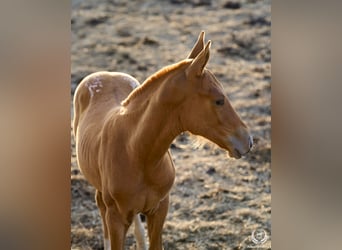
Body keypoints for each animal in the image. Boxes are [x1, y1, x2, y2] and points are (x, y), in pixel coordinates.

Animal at [73, 31, 252, 250]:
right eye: (219, 100)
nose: (248, 140)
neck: (137, 153)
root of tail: (107, 73)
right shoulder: (116, 218)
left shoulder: (159, 210)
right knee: (100, 204)